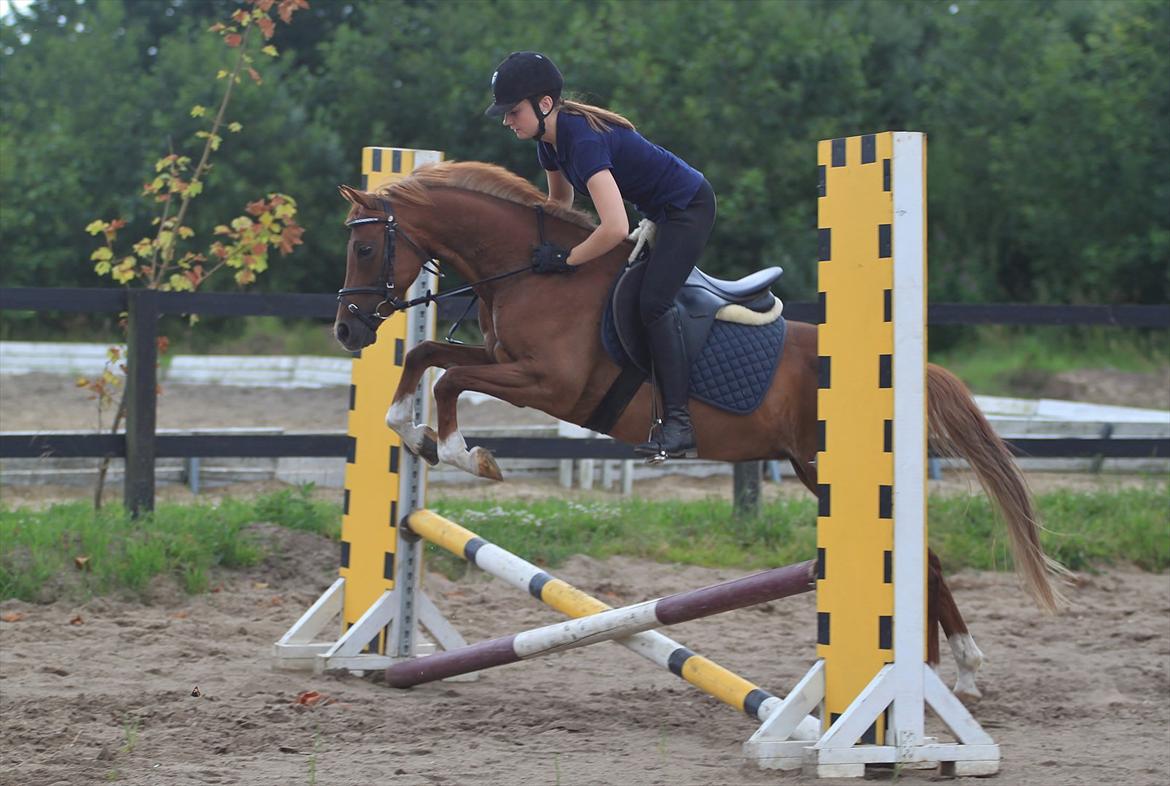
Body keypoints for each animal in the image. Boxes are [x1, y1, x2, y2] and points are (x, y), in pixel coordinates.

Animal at [332, 161, 1071, 701]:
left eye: (366, 247)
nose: (345, 330)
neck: (537, 271)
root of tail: (906, 372)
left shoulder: (549, 384)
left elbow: (450, 380)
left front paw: (463, 453)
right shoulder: (504, 360)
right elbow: (427, 358)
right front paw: (410, 431)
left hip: (827, 469)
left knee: (925, 560)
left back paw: (956, 671)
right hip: (813, 470)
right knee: (930, 560)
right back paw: (955, 671)